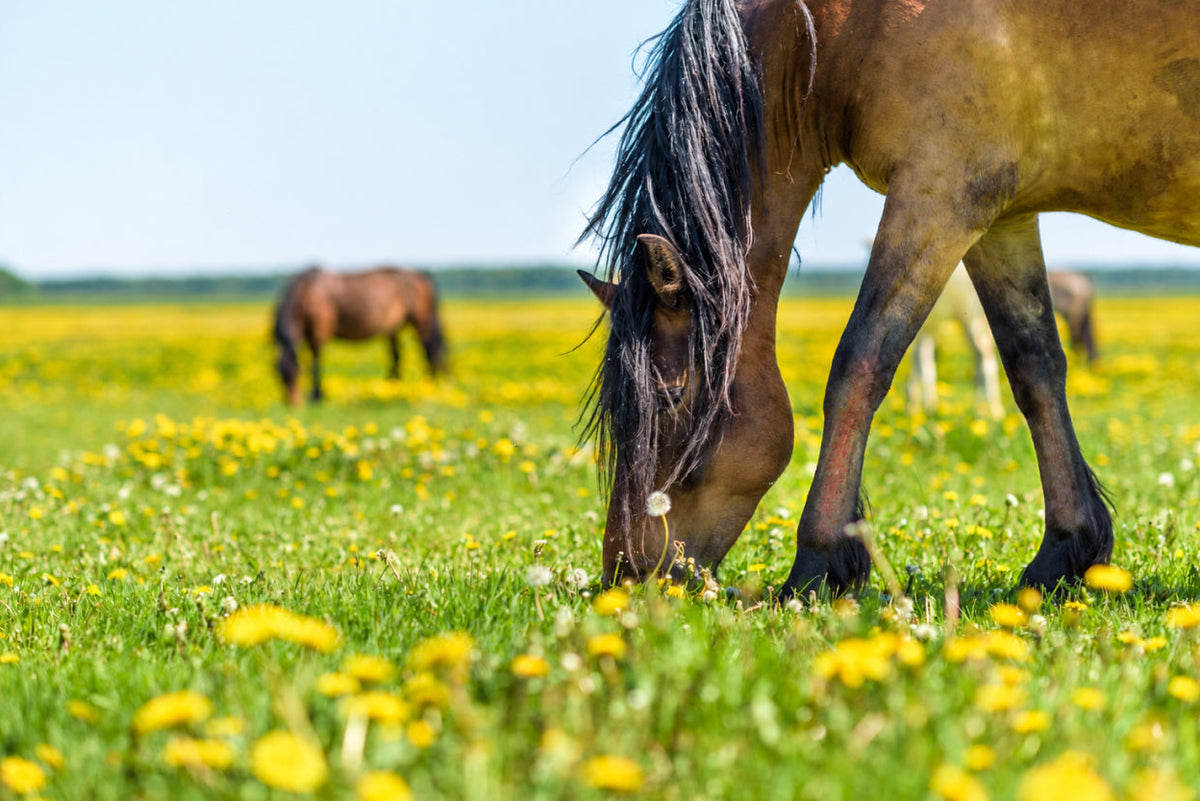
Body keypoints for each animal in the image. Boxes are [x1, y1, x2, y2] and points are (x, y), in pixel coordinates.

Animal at [273, 266, 446, 405]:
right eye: (280, 377)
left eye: (296, 374)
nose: (293, 404)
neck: (309, 292)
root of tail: (420, 275)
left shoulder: (320, 329)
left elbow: (316, 361)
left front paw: (317, 396)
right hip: (394, 327)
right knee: (397, 355)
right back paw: (391, 388)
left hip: (421, 320)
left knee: (429, 349)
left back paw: (430, 384)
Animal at [579, 0, 1200, 595]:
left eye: (669, 397)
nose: (627, 572)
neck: (841, 30)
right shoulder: (1001, 215)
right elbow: (1034, 368)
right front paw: (1066, 550)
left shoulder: (937, 195)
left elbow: (860, 366)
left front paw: (820, 561)